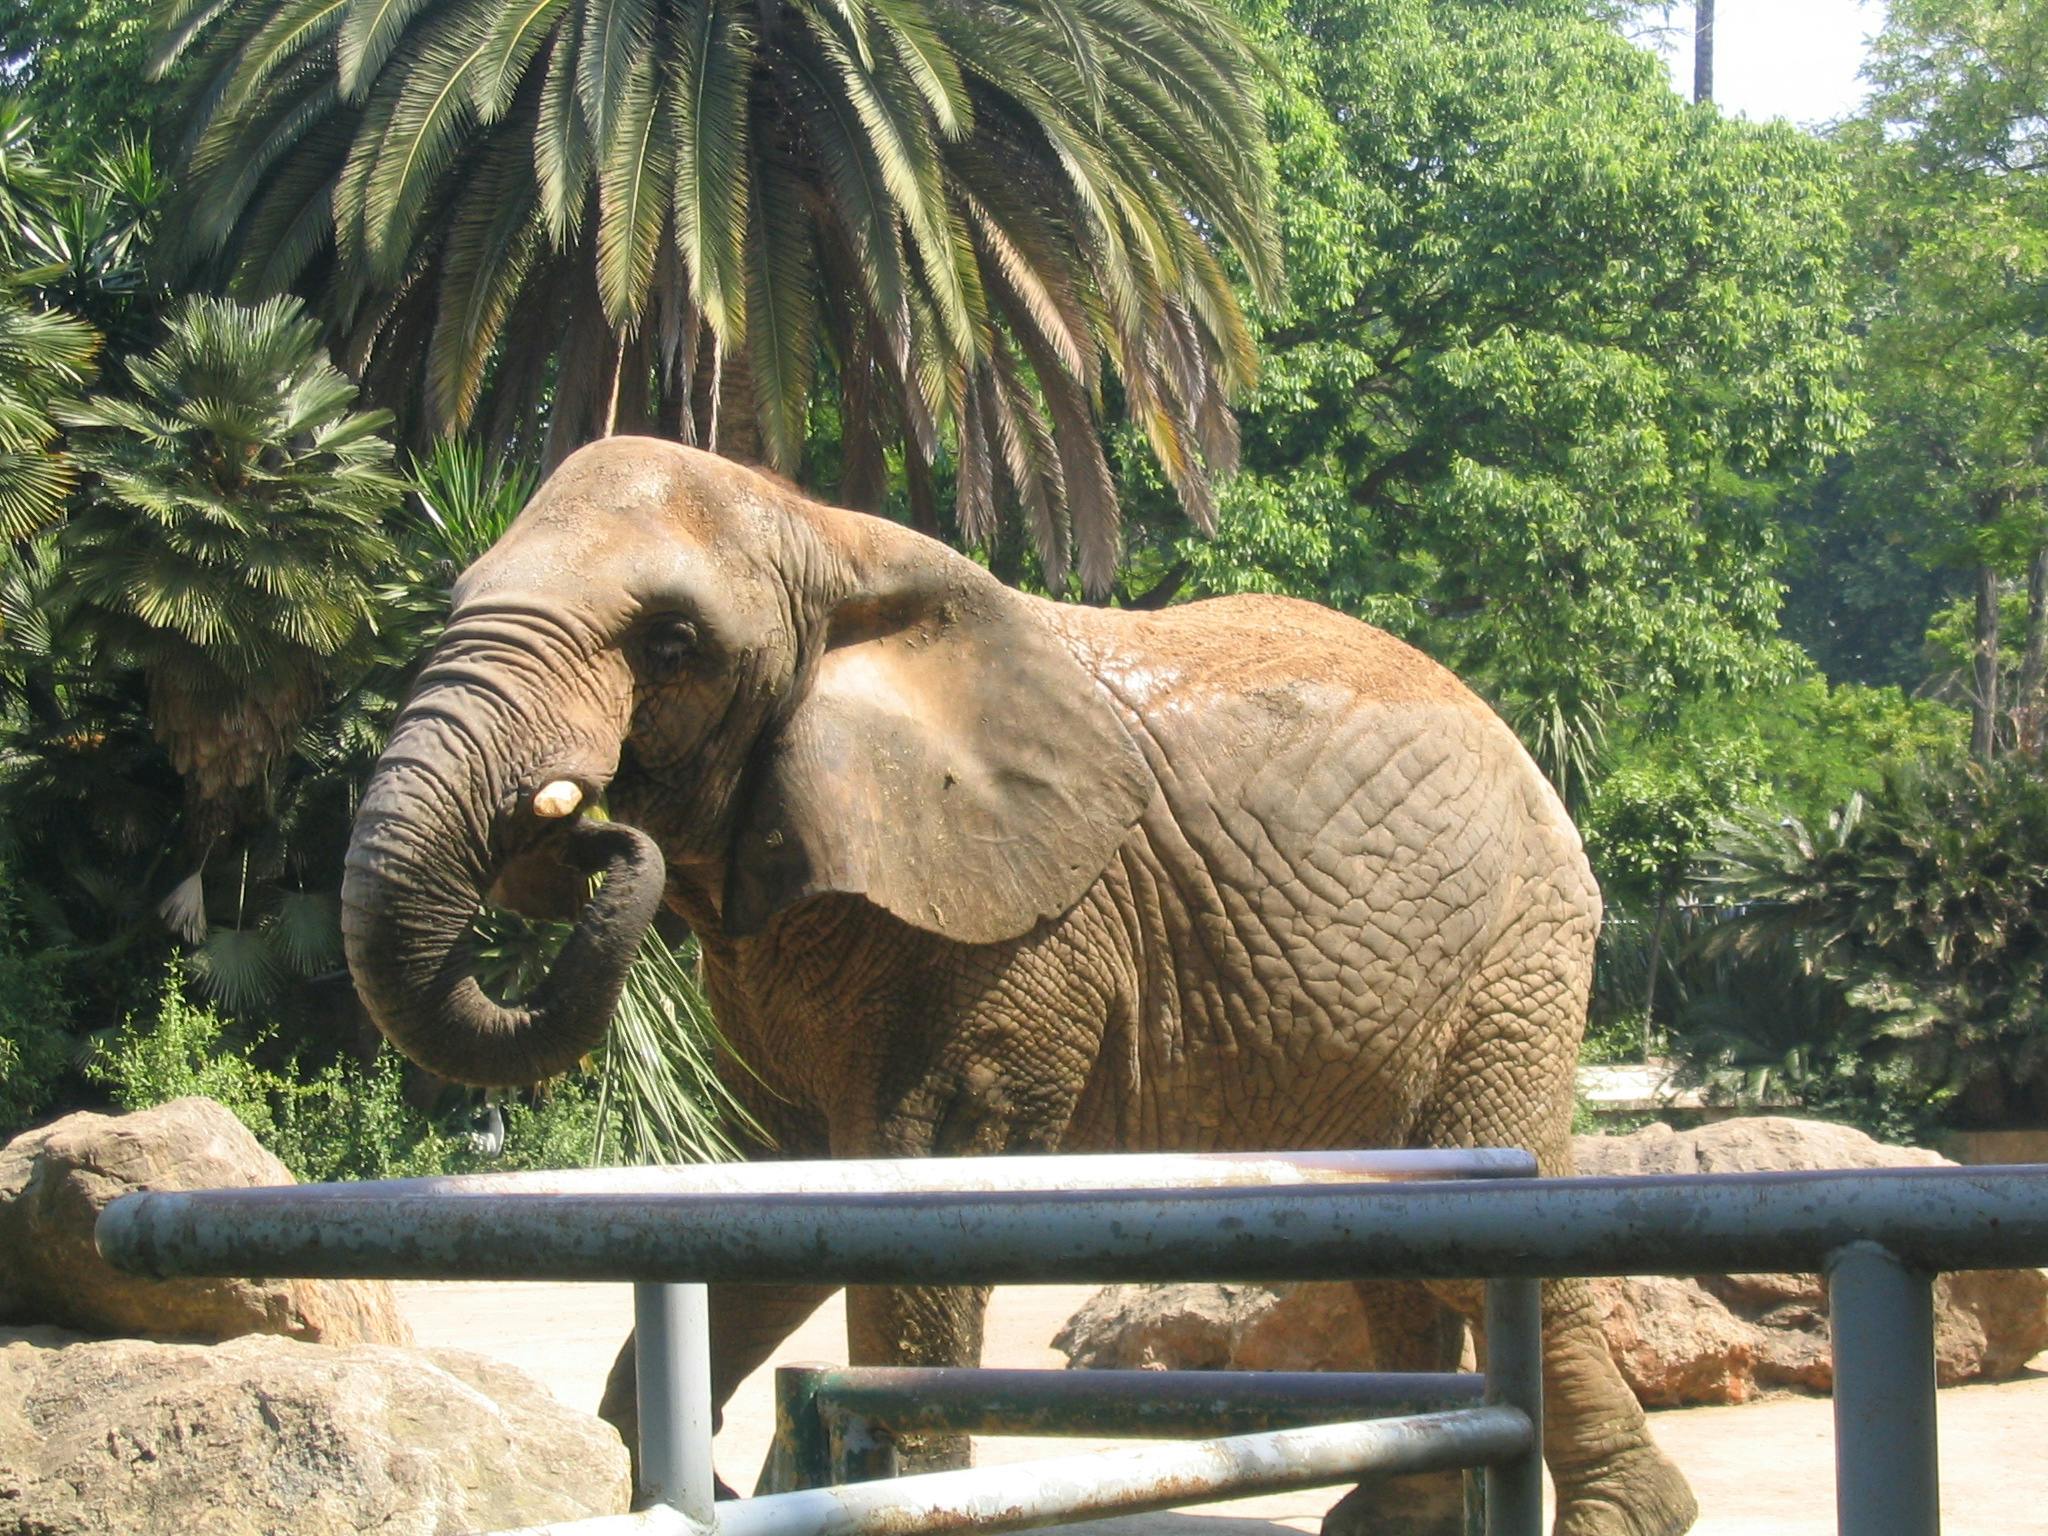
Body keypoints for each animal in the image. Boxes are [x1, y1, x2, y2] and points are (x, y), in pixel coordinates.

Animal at [341, 436, 1697, 1536]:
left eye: (670, 646)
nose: (580, 827)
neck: (827, 539)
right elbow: (771, 1194)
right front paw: (684, 1483)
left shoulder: (1015, 930)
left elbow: (915, 1183)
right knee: (1397, 1246)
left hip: (1511, 959)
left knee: (1478, 1228)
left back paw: (1621, 1519)